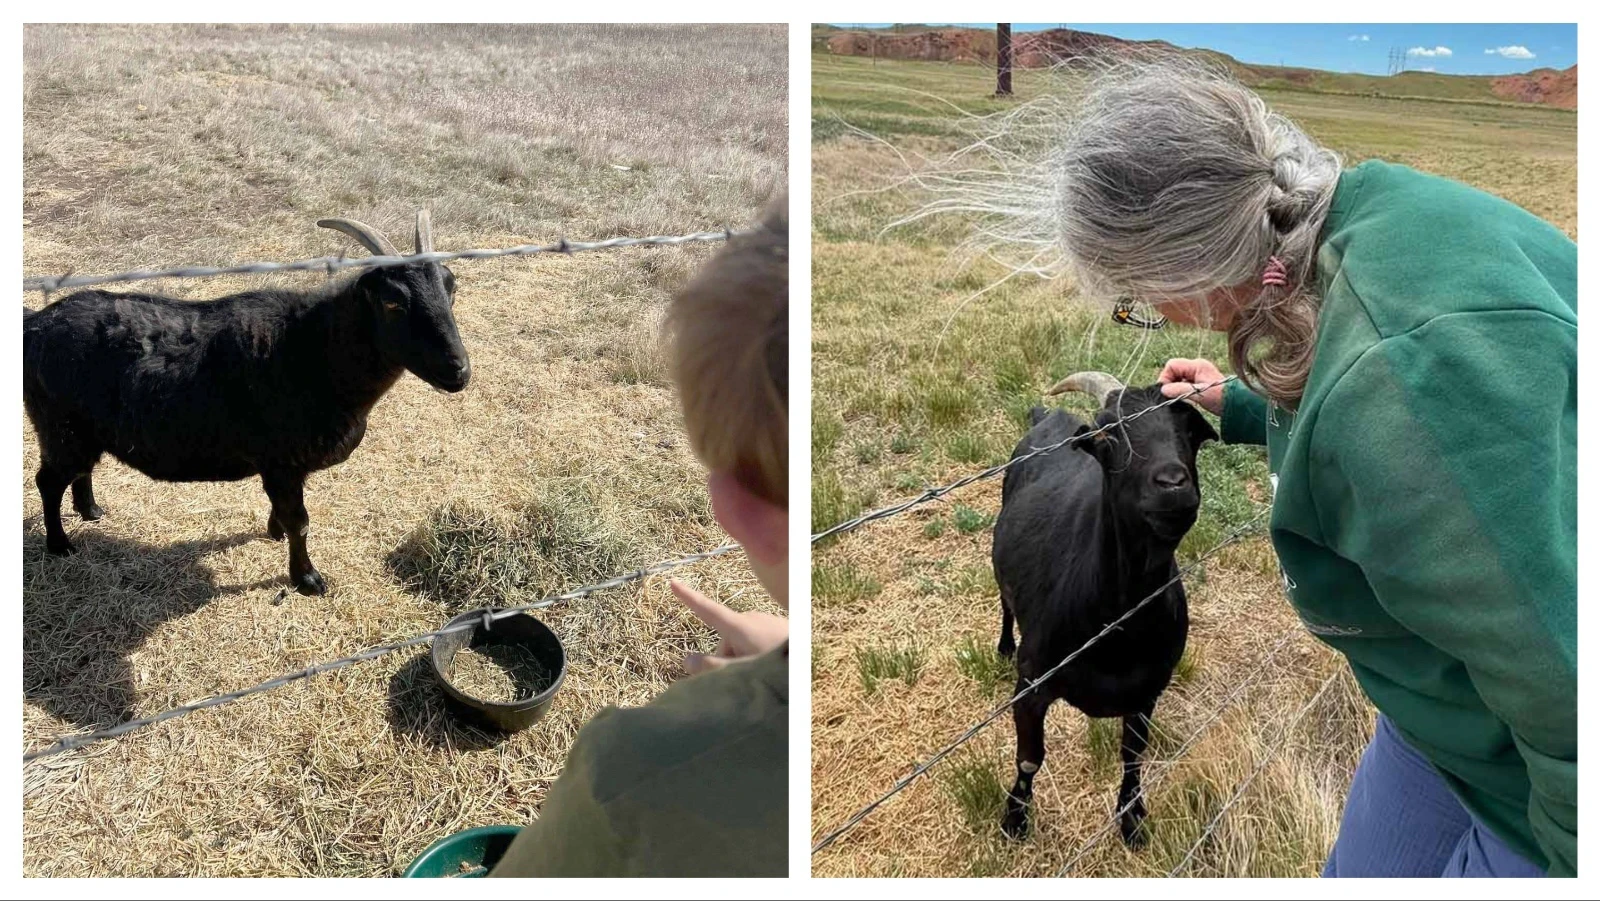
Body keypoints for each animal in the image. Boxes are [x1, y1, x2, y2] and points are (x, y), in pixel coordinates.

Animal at [23, 212, 470, 596]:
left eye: (451, 288)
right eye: (392, 302)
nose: (459, 371)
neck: (310, 350)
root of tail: (34, 324)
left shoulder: (282, 467)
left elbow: (283, 511)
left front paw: (274, 532)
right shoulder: (282, 461)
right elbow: (300, 521)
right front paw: (307, 579)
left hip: (81, 430)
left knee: (80, 470)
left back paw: (90, 510)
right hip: (57, 425)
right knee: (47, 481)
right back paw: (61, 545)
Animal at [991, 371, 1216, 845]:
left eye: (1187, 430)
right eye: (1110, 433)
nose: (1173, 485)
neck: (1118, 627)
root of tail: (1048, 415)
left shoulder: (1147, 693)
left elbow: (1133, 756)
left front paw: (1132, 821)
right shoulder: (1031, 683)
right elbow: (1029, 757)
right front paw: (1015, 819)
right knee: (1004, 600)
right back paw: (1002, 645)